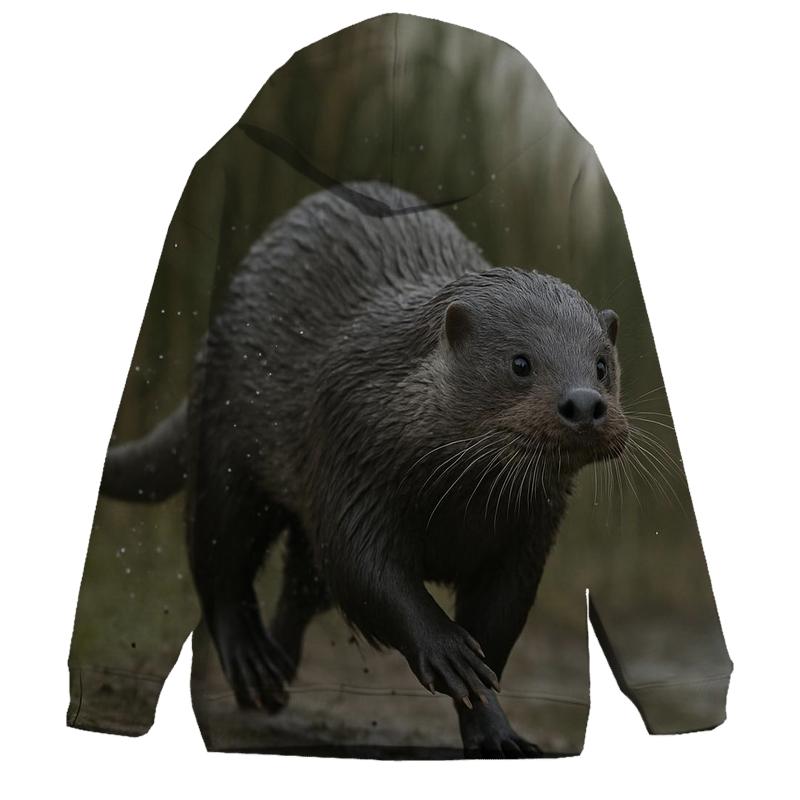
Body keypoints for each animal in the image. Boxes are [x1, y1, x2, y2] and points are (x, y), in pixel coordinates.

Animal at [101, 180, 629, 758]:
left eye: (602, 365)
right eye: (520, 362)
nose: (584, 403)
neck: (457, 506)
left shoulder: (527, 538)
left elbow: (496, 627)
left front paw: (498, 734)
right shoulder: (352, 450)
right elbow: (364, 568)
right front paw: (447, 650)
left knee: (301, 585)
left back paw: (276, 674)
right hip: (225, 443)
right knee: (220, 556)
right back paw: (251, 662)